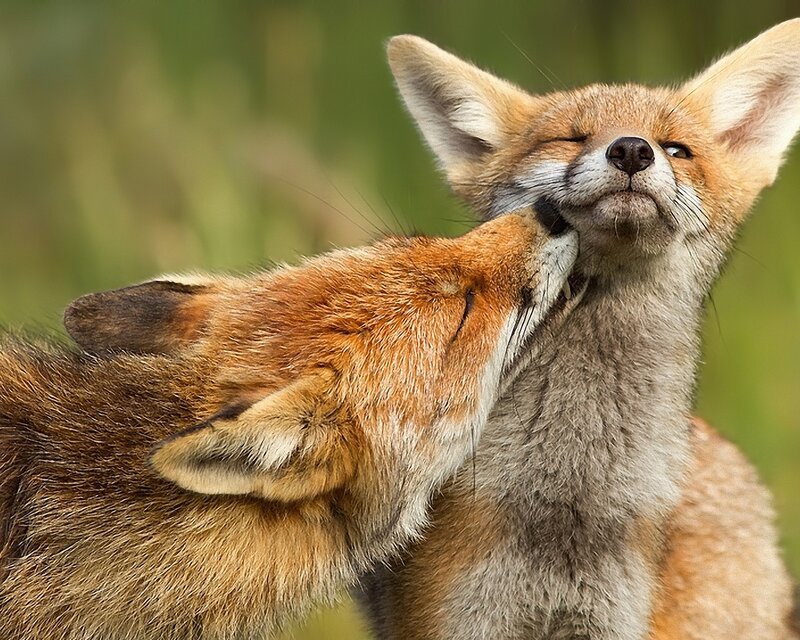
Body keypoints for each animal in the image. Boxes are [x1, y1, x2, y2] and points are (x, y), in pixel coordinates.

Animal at [359, 19, 800, 640]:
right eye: (570, 139)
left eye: (677, 149)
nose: (632, 149)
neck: (569, 499)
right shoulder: (453, 616)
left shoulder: (611, 620)